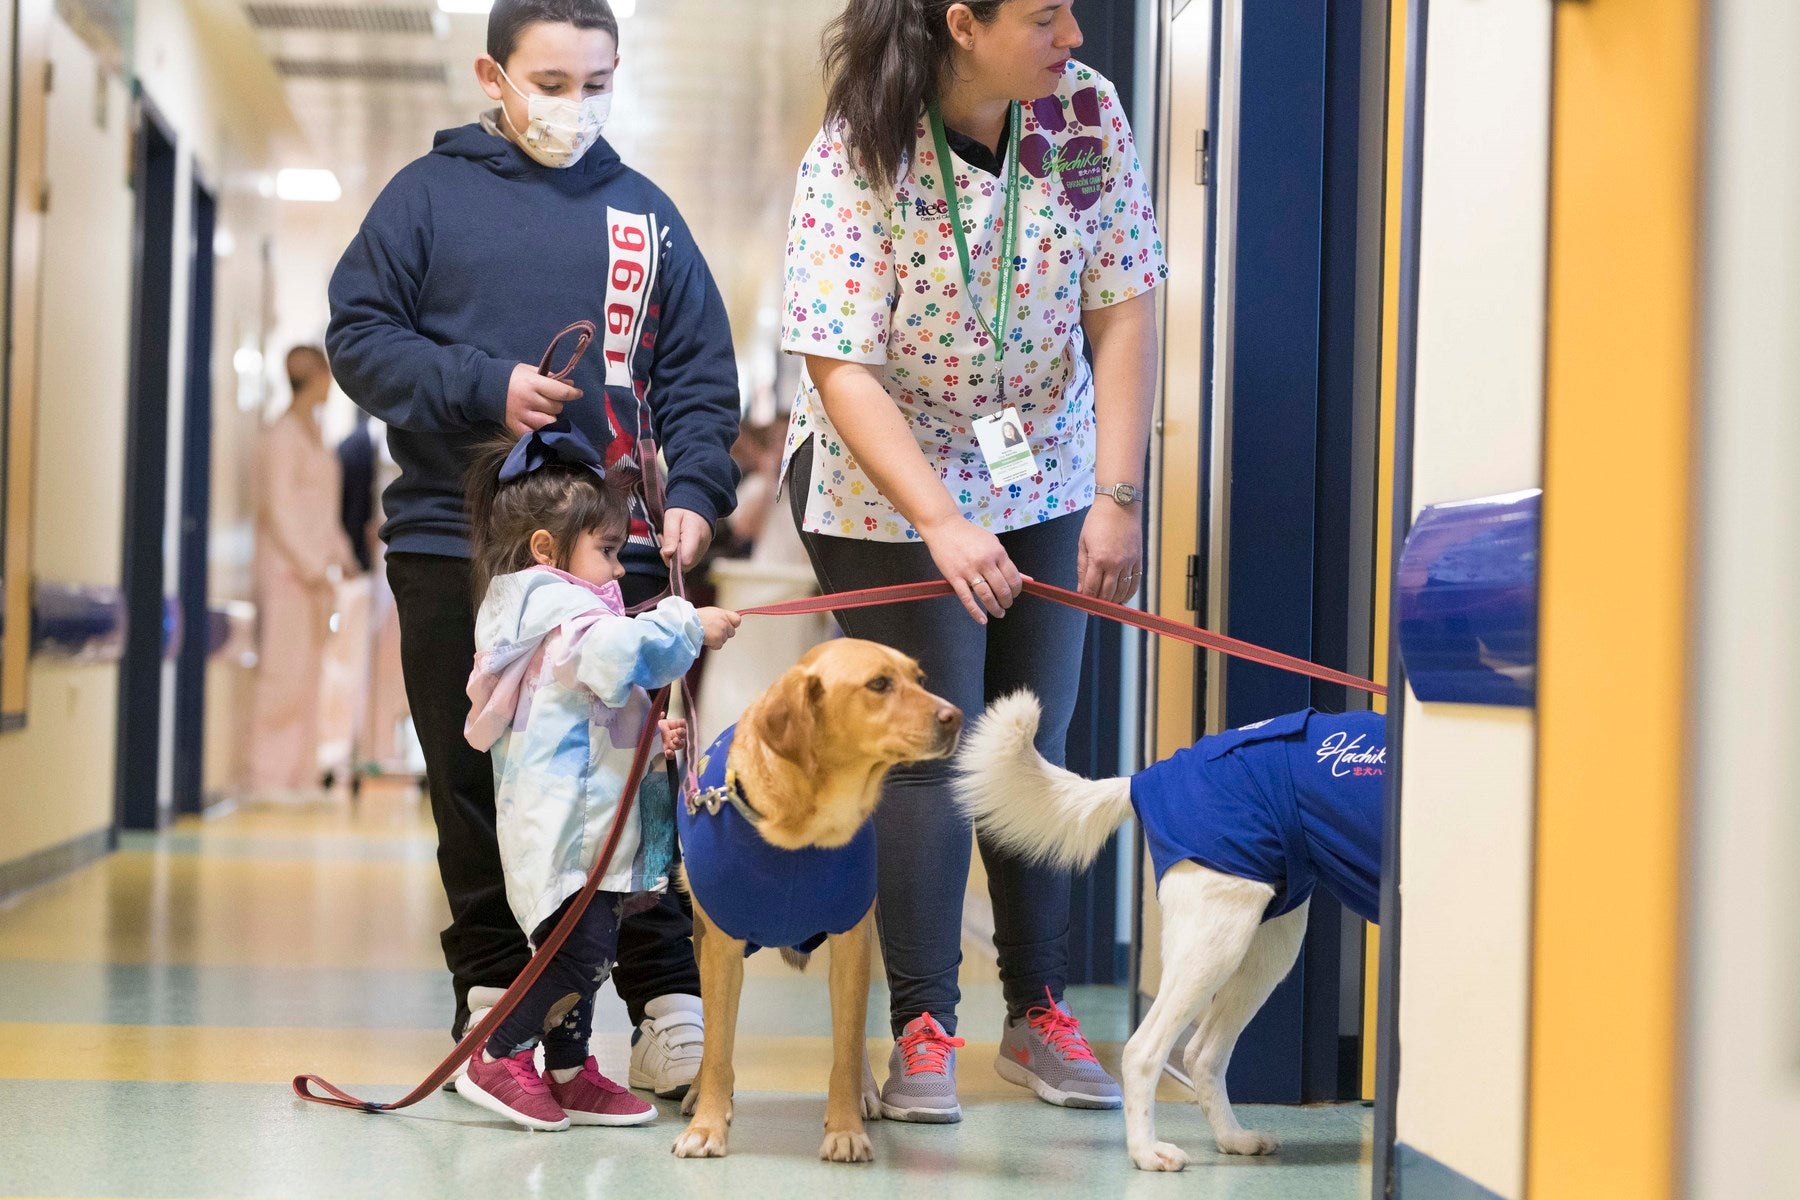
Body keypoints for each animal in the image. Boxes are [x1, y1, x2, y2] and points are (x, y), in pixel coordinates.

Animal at [673, 647, 957, 1165]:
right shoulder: (722, 953)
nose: (956, 716)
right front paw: (708, 1124)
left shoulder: (851, 945)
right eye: (879, 684)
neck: (802, 829)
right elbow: (719, 1048)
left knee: (855, 1039)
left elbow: (845, 1049)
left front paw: (845, 1128)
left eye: (920, 679)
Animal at [950, 694, 1382, 1173]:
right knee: (1143, 1051)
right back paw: (1146, 1151)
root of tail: (1152, 776)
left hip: (1266, 947)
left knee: (1201, 1053)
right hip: (1217, 939)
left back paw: (1232, 1138)